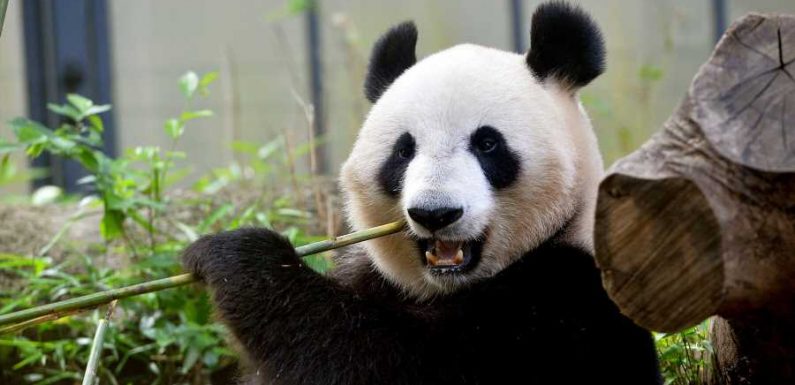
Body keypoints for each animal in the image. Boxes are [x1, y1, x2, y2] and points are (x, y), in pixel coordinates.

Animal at [183, 1, 664, 382]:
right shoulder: (374, 277)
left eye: (487, 144)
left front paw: (237, 256)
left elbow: (384, 363)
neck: (446, 288)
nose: (435, 214)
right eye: (403, 150)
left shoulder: (563, 304)